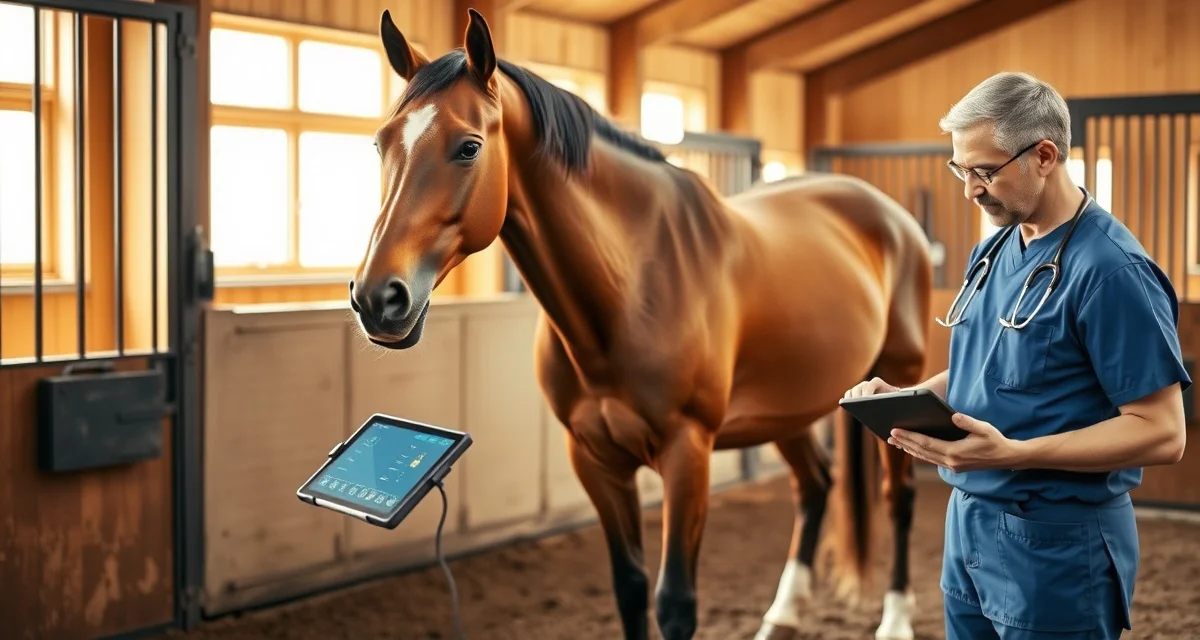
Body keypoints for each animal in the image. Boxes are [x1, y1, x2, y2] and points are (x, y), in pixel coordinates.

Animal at [349, 8, 933, 640]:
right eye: (380, 143)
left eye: (468, 147)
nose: (377, 297)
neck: (630, 285)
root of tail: (889, 214)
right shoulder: (595, 459)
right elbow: (628, 588)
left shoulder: (687, 453)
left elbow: (674, 601)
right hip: (788, 404)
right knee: (816, 484)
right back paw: (781, 616)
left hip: (897, 384)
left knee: (898, 497)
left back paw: (895, 619)